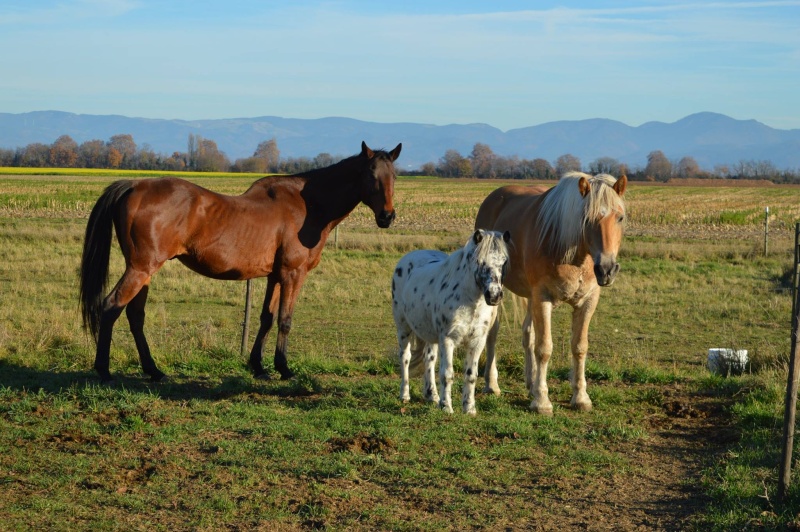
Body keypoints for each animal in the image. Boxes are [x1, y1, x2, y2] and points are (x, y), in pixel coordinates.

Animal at [80, 141, 400, 382]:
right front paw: (284, 368)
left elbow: (266, 318)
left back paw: (153, 370)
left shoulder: (274, 275)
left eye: (394, 177)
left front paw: (258, 367)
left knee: (135, 316)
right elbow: (285, 320)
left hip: (143, 272)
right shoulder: (293, 273)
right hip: (140, 268)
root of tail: (134, 185)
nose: (387, 217)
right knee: (110, 307)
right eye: (370, 175)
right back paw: (104, 370)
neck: (307, 207)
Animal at [394, 229, 512, 416]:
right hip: (403, 327)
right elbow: (447, 374)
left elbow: (471, 375)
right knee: (405, 358)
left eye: (504, 261)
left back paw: (432, 395)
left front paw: (469, 408)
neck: (471, 301)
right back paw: (405, 395)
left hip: (430, 334)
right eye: (480, 261)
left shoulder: (477, 341)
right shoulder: (448, 339)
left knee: (429, 359)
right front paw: (446, 407)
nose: (494, 296)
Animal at [476, 172, 624, 414]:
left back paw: (530, 383)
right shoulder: (543, 298)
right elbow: (544, 348)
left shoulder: (587, 301)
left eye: (619, 218)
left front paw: (580, 397)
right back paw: (492, 384)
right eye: (586, 219)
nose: (607, 269)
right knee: (493, 333)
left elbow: (579, 347)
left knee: (528, 333)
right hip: (498, 291)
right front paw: (542, 402)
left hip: (530, 297)